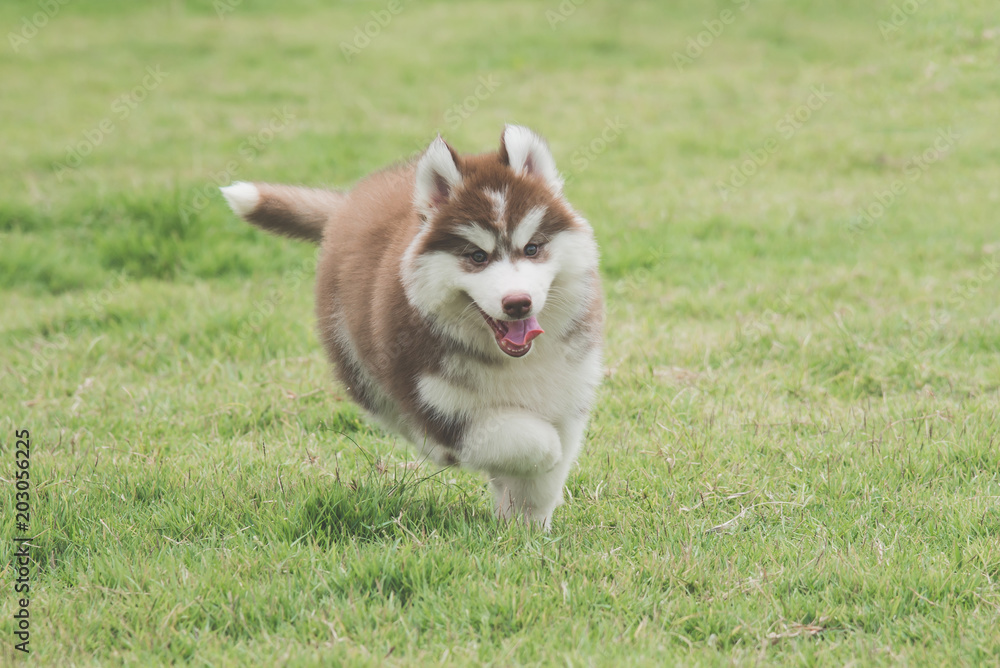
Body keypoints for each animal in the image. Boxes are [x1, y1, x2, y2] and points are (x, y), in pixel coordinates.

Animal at [223, 128, 600, 528]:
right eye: (477, 256)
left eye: (531, 249)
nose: (518, 303)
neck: (511, 360)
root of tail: (350, 201)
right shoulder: (439, 405)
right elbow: (535, 442)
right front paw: (538, 461)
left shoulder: (568, 393)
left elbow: (545, 471)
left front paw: (525, 525)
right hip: (362, 368)